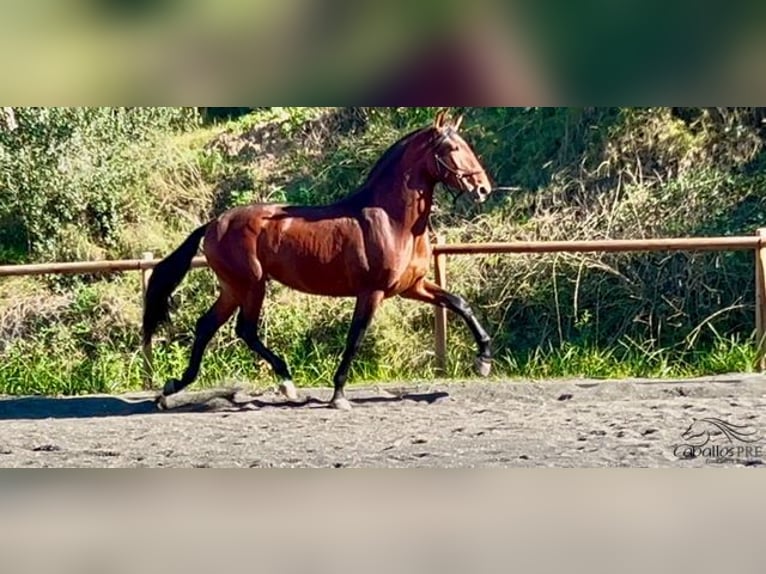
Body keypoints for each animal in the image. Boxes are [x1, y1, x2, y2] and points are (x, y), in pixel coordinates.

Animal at [141, 110, 496, 412]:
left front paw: (483, 359)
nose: (483, 189)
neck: (393, 221)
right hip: (251, 285)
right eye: (452, 148)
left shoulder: (413, 286)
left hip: (233, 288)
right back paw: (286, 383)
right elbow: (355, 338)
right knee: (245, 329)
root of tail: (214, 223)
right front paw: (338, 395)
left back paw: (170, 390)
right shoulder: (372, 292)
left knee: (207, 326)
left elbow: (460, 304)